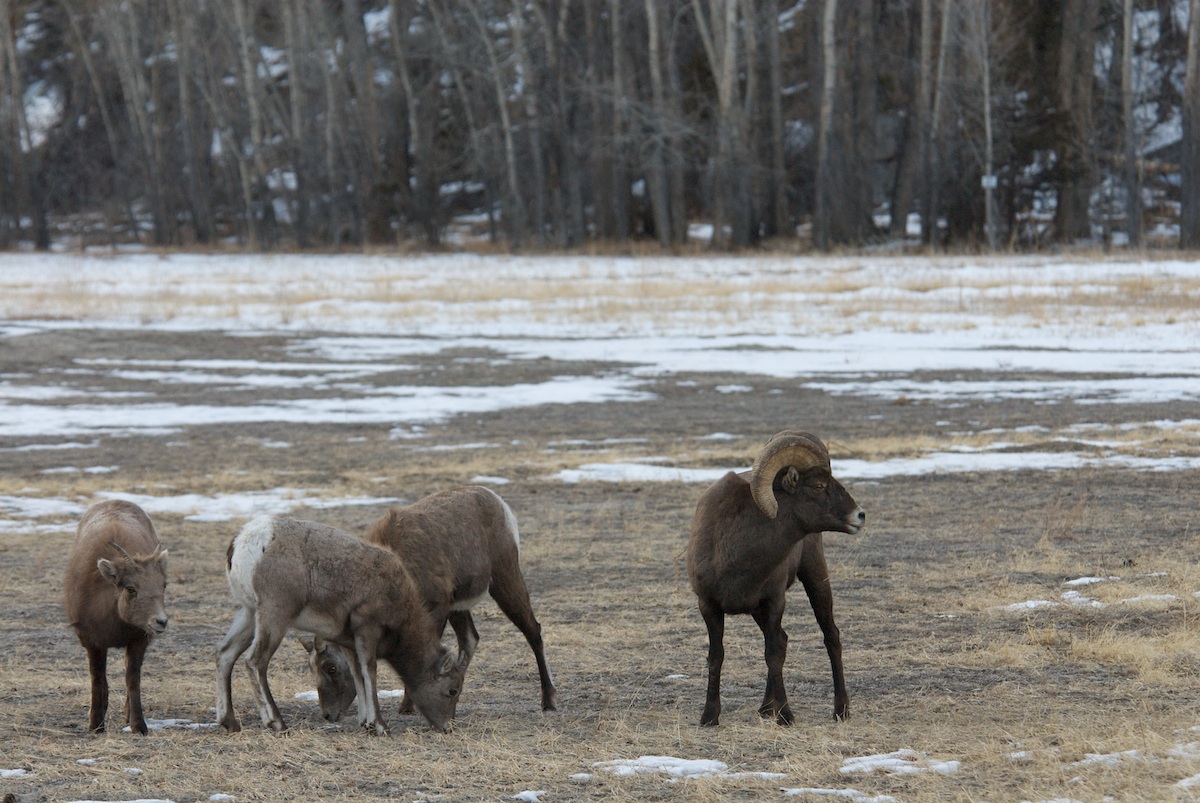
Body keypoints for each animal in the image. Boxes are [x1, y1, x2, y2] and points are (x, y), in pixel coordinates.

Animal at [62, 499, 170, 735]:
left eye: (164, 585)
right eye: (131, 588)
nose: (161, 621)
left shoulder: (138, 641)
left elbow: (132, 680)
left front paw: (138, 726)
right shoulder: (93, 642)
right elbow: (98, 679)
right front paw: (96, 726)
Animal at [215, 514, 465, 735]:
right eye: (452, 690)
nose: (447, 728)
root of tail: (244, 542)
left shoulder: (349, 641)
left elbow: (357, 674)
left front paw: (365, 724)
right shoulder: (367, 629)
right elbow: (369, 672)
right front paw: (380, 726)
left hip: (249, 612)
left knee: (225, 654)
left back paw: (230, 723)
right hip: (275, 614)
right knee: (255, 662)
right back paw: (278, 724)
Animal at [306, 486, 557, 721]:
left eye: (331, 668)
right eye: (312, 668)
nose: (328, 714)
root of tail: (498, 502)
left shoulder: (436, 609)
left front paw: (409, 706)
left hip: (505, 580)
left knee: (533, 630)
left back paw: (549, 701)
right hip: (459, 607)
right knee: (471, 639)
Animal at [686, 430, 865, 726]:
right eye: (818, 486)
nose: (860, 515)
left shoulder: (774, 602)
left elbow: (773, 654)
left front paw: (785, 716)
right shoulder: (708, 606)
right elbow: (716, 657)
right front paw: (709, 717)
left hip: (815, 576)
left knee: (830, 637)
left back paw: (841, 710)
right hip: (759, 609)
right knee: (784, 638)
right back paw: (764, 708)